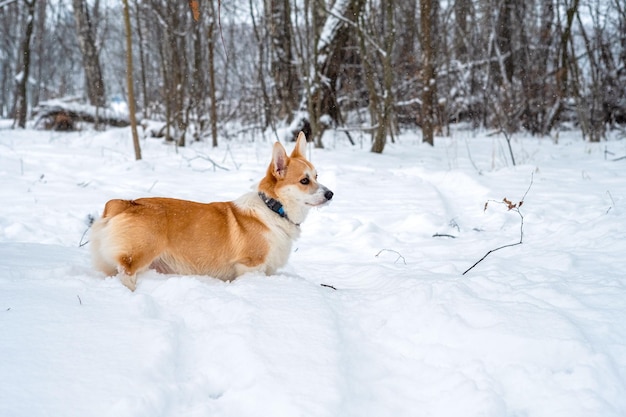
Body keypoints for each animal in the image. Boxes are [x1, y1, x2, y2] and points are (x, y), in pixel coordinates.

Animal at [89, 132, 332, 290]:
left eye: (317, 176)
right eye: (304, 181)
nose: (331, 194)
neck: (273, 209)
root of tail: (124, 203)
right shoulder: (250, 266)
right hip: (139, 253)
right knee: (127, 273)